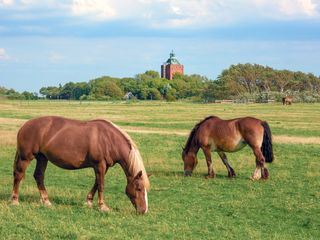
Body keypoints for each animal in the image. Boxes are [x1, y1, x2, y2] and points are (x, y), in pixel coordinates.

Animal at [10, 116, 149, 214]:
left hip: (42, 158)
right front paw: (102, 206)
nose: (144, 211)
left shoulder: (103, 167)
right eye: (139, 188)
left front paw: (88, 202)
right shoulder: (100, 165)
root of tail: (25, 125)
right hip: (25, 158)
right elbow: (101, 185)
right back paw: (15, 200)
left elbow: (96, 183)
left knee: (39, 176)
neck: (108, 139)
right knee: (19, 175)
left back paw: (46, 201)